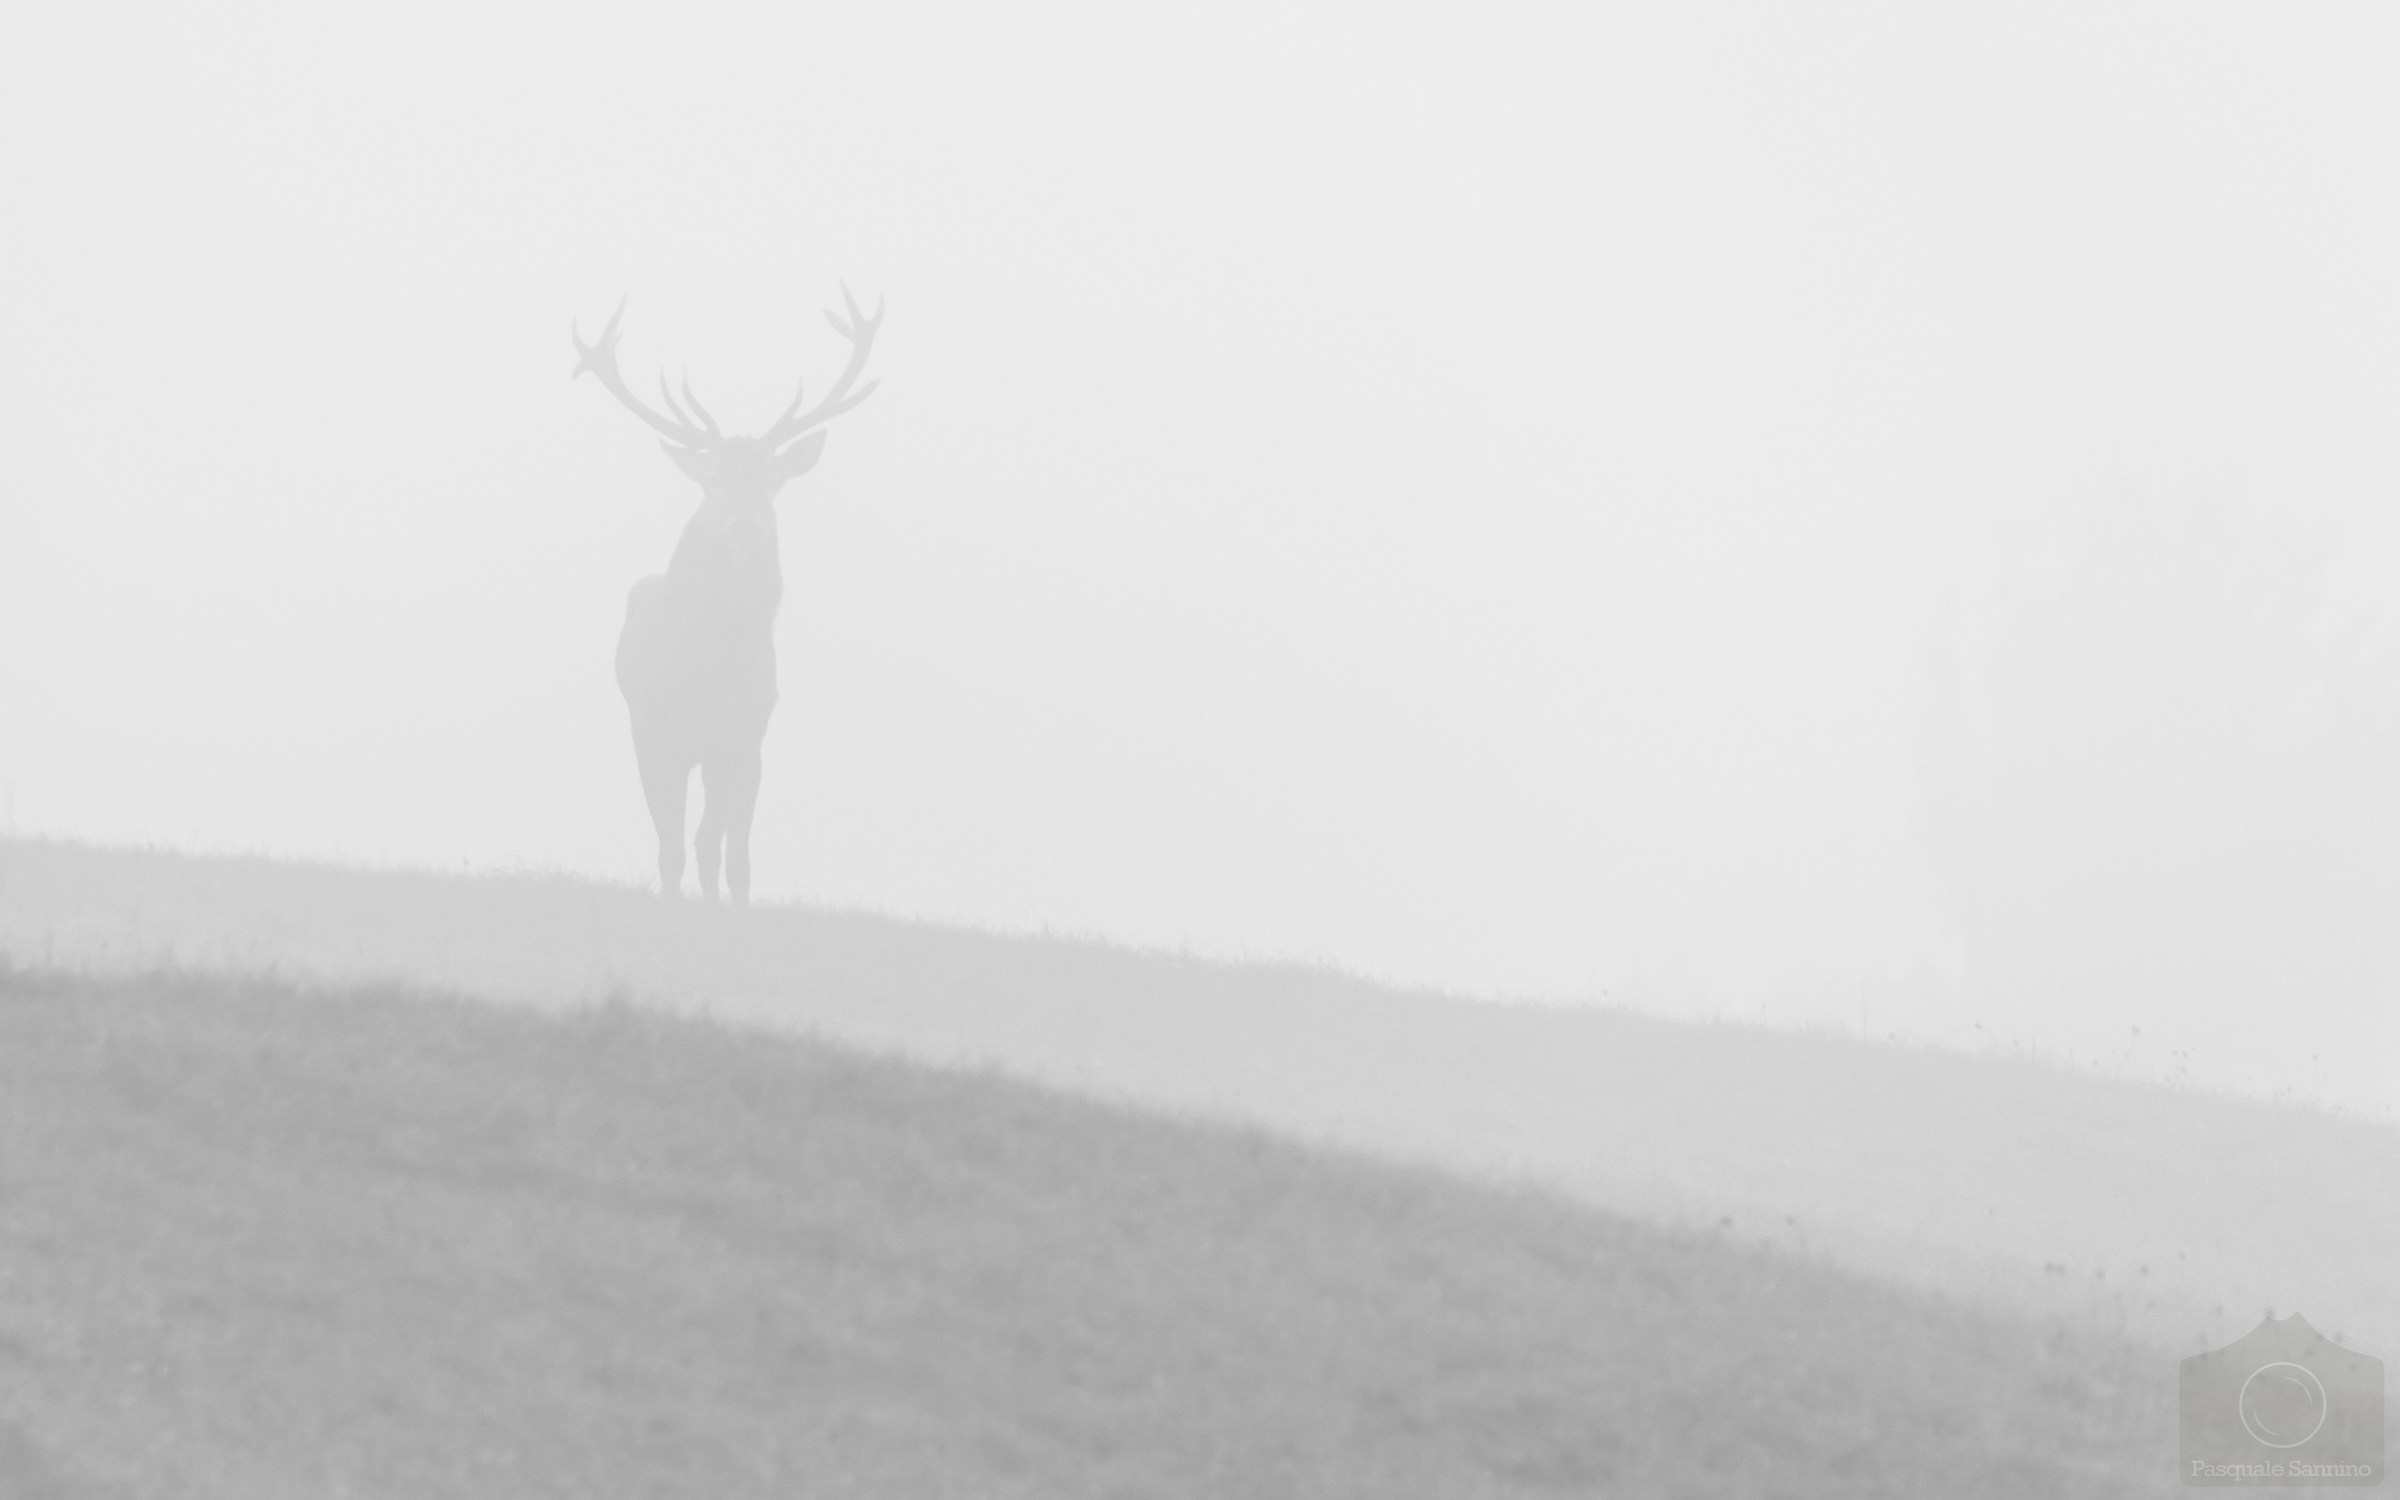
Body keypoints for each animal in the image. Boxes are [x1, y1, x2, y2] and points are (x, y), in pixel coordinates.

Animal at [571, 289, 883, 903]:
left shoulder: (746, 737)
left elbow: (729, 853)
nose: (745, 527)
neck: (708, 671)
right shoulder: (656, 731)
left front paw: (727, 908)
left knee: (717, 844)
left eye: (771, 480)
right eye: (712, 478)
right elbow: (671, 849)